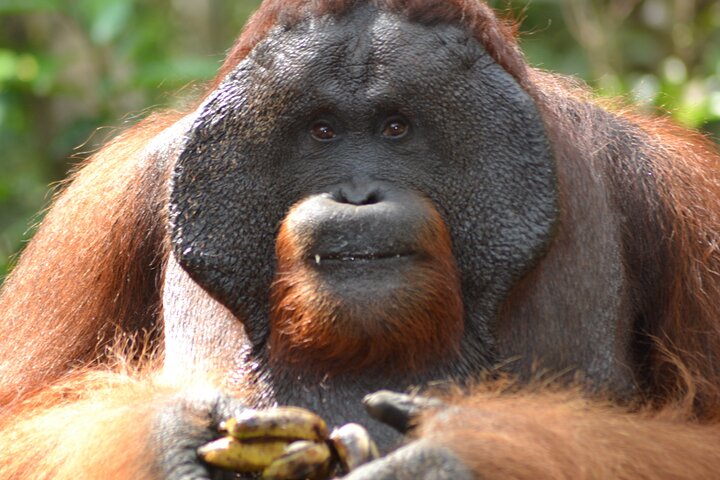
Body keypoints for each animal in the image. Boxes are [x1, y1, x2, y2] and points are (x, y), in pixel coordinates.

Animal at [2, 1, 720, 478]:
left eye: (395, 127)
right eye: (322, 129)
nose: (356, 194)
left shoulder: (680, 195)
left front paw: (456, 448)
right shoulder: (106, 202)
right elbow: (19, 419)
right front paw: (171, 431)